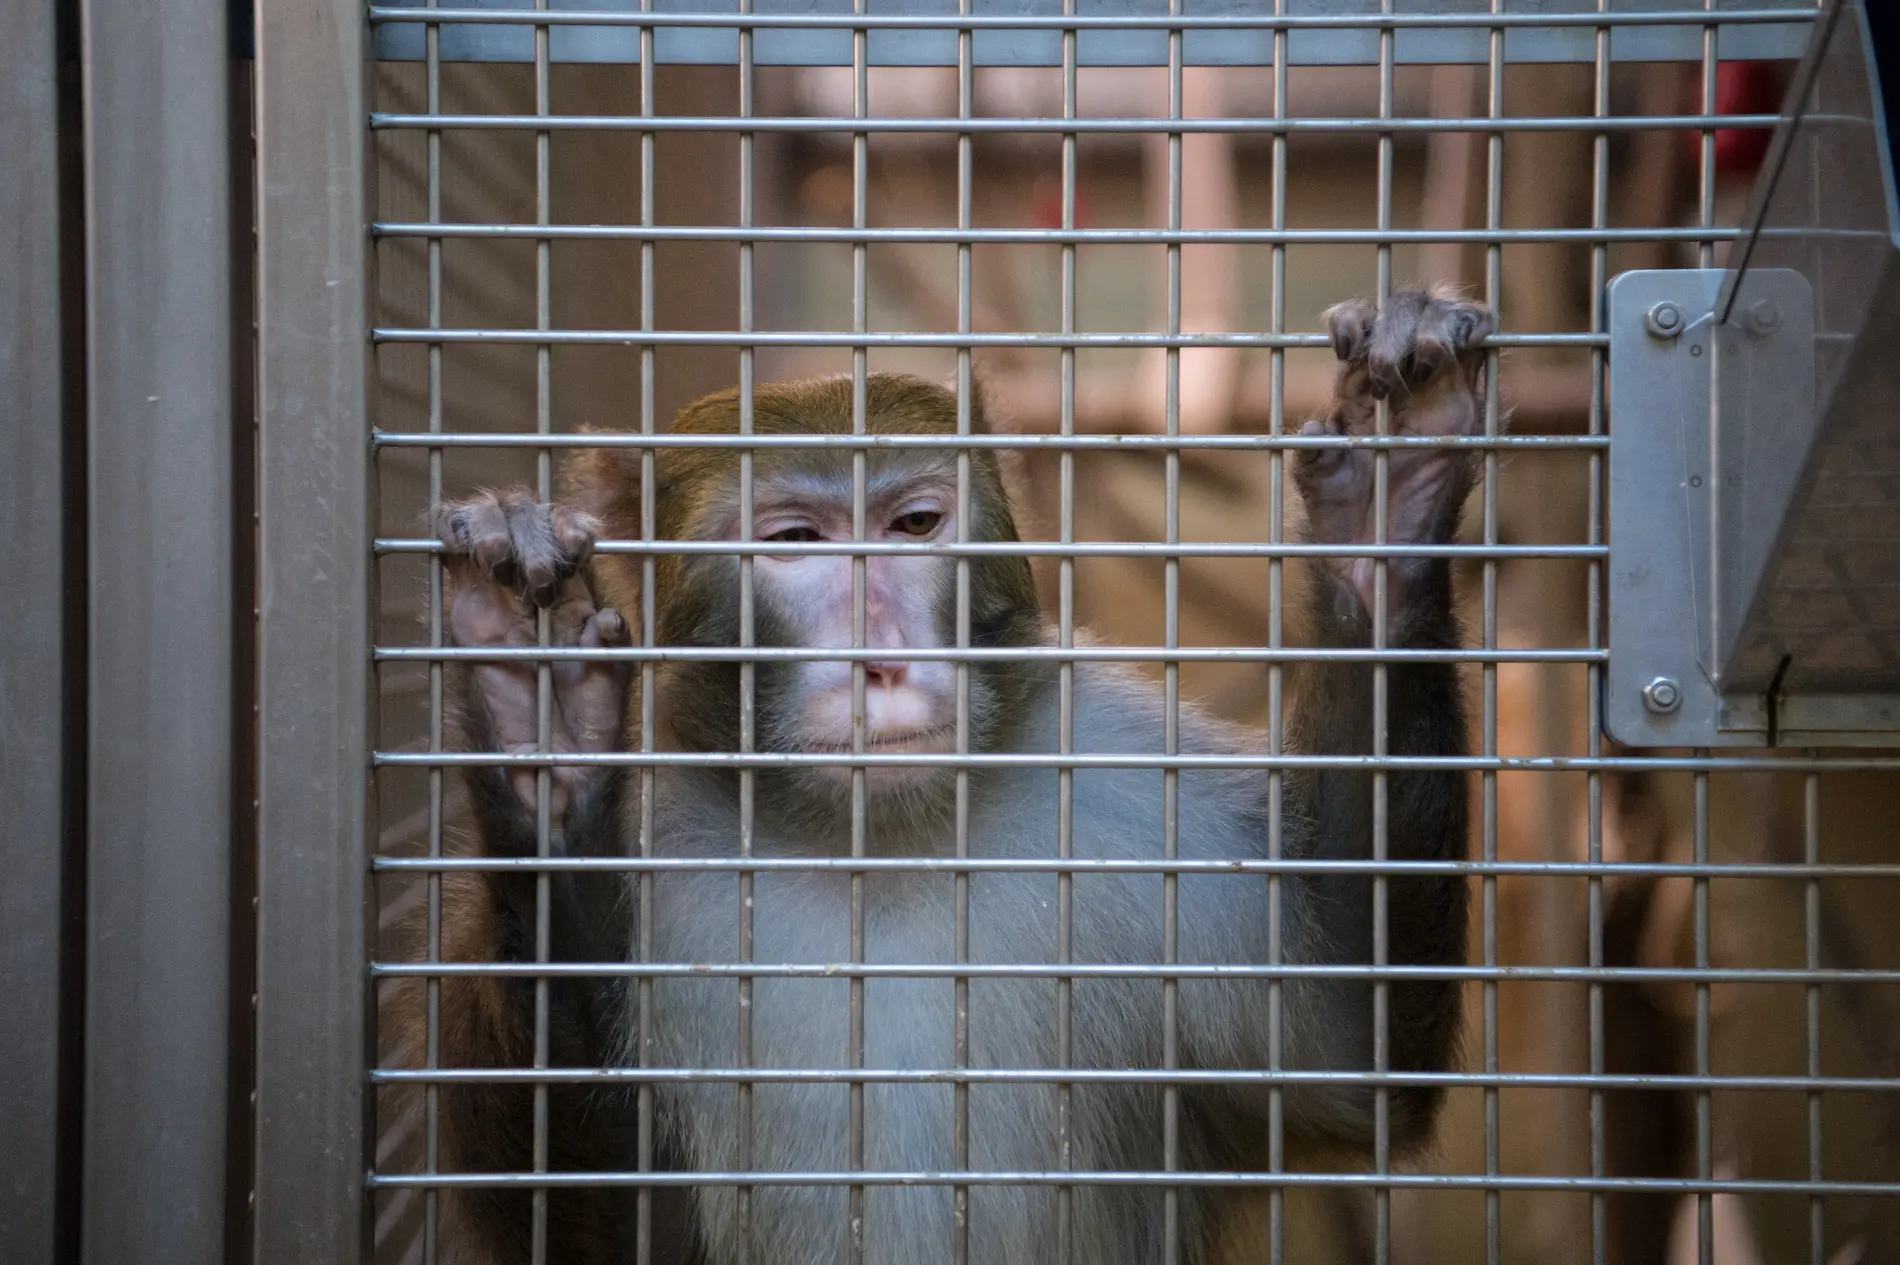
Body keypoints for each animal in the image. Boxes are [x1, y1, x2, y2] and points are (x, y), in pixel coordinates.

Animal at [383, 287, 1491, 1264]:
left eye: (913, 523)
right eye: (796, 540)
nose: (881, 659)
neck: (879, 838)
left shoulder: (1140, 794)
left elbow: (1347, 1042)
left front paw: (1386, 510)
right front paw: (542, 729)